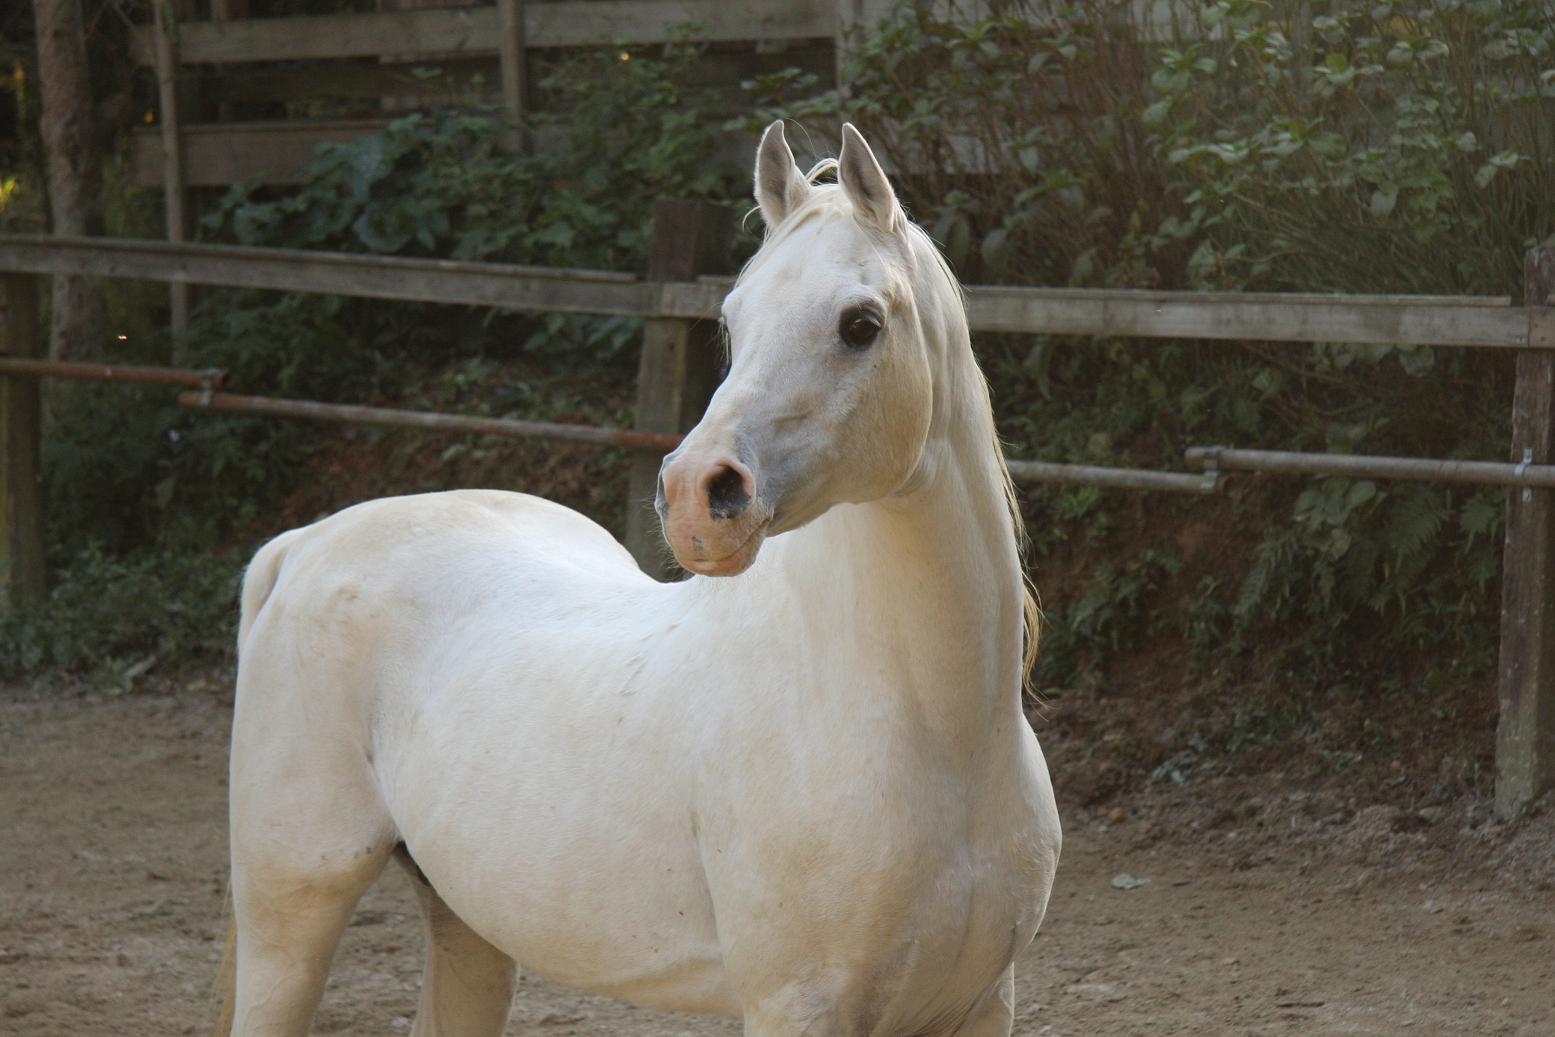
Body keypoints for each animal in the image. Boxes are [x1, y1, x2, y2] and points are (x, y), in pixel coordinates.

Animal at [219, 123, 1063, 1037]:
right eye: (731, 319)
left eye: (861, 323)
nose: (698, 494)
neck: (939, 737)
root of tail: (305, 544)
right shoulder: (796, 1005)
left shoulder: (980, 1004)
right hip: (292, 914)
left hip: (468, 924)